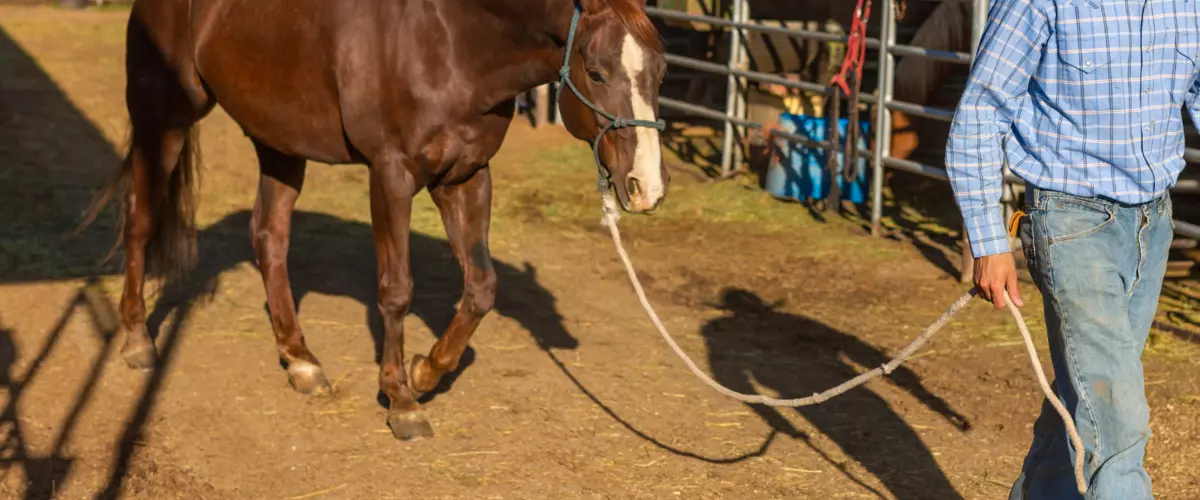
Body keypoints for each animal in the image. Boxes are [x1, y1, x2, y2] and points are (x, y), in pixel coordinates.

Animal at [85, 0, 670, 440]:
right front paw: (402, 400)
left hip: (278, 142)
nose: (647, 187)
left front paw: (426, 371)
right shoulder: (391, 175)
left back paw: (301, 360)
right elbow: (396, 290)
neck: (451, 40)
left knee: (269, 237)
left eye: (661, 72)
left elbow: (481, 287)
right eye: (596, 70)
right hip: (163, 117)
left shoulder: (466, 176)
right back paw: (137, 341)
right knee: (141, 221)